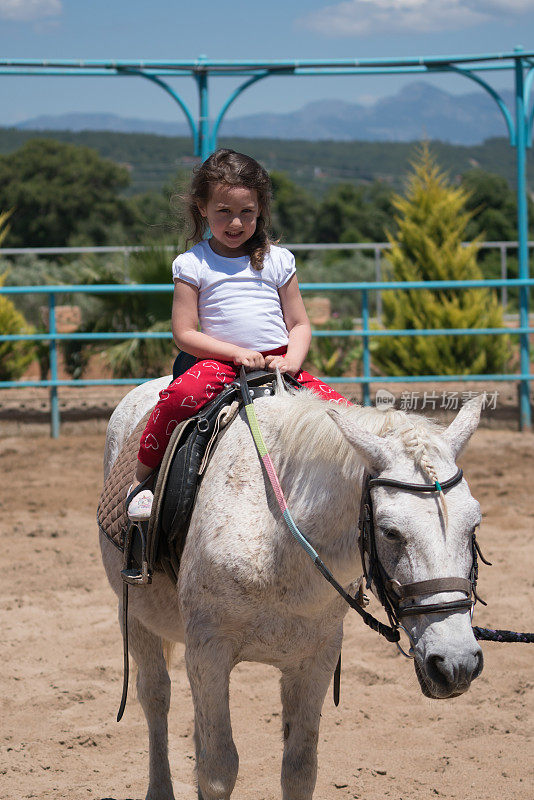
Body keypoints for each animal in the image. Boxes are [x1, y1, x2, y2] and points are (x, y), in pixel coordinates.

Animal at [99, 382, 486, 800]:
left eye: (474, 524)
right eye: (390, 531)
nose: (456, 664)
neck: (276, 537)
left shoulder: (316, 658)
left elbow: (300, 769)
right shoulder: (207, 653)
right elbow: (218, 770)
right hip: (134, 618)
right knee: (155, 696)